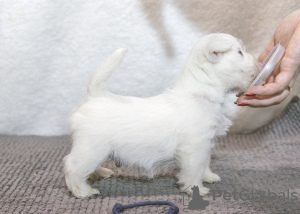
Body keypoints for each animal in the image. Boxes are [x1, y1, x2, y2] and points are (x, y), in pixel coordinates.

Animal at [63, 32, 260, 198]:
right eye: (240, 52)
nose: (258, 63)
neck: (200, 93)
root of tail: (94, 96)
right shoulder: (194, 148)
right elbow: (194, 170)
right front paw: (197, 189)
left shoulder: (205, 145)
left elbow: (205, 164)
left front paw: (209, 177)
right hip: (92, 149)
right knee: (72, 166)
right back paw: (83, 191)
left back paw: (99, 173)